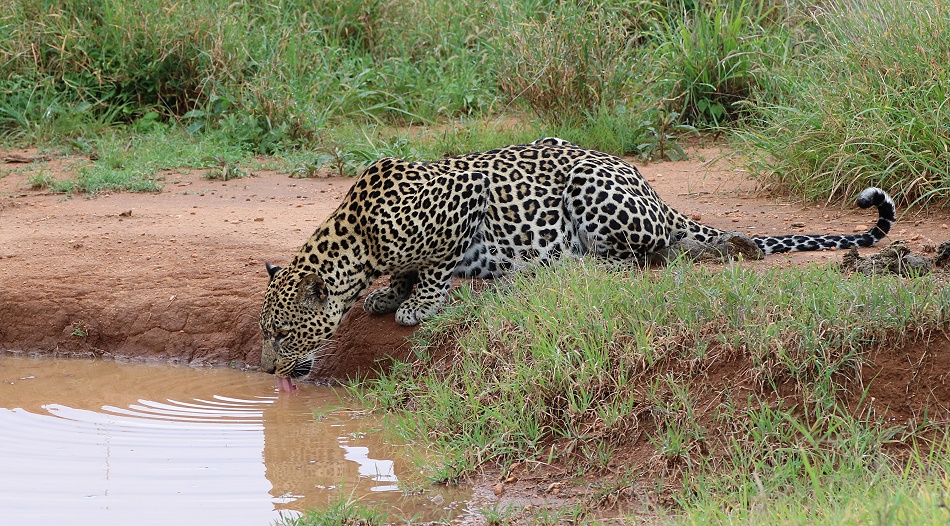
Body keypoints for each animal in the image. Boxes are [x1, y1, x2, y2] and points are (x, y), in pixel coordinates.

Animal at [259, 138, 895, 387]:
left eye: (283, 334)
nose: (266, 372)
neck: (359, 240)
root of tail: (655, 192)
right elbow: (403, 269)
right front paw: (390, 292)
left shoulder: (465, 200)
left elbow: (436, 266)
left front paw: (416, 304)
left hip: (593, 193)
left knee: (647, 258)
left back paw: (569, 268)